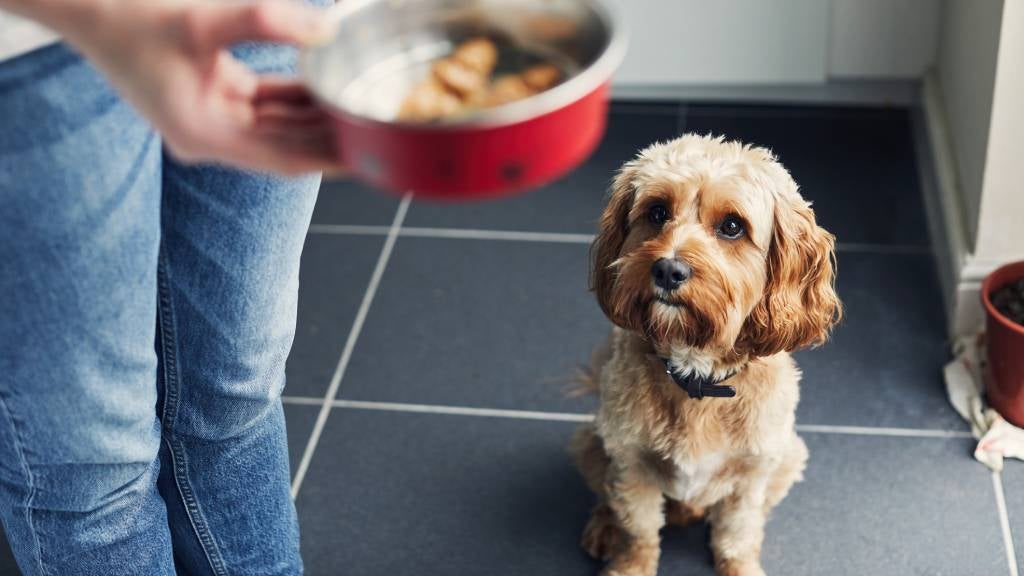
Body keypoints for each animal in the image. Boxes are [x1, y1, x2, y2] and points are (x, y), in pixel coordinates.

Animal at [569, 132, 839, 569]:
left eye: (732, 226)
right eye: (657, 212)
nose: (667, 270)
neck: (697, 376)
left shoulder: (753, 473)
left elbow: (737, 535)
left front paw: (741, 567)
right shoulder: (630, 464)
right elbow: (638, 530)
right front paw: (629, 566)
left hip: (789, 457)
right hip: (590, 443)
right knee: (607, 495)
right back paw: (604, 525)